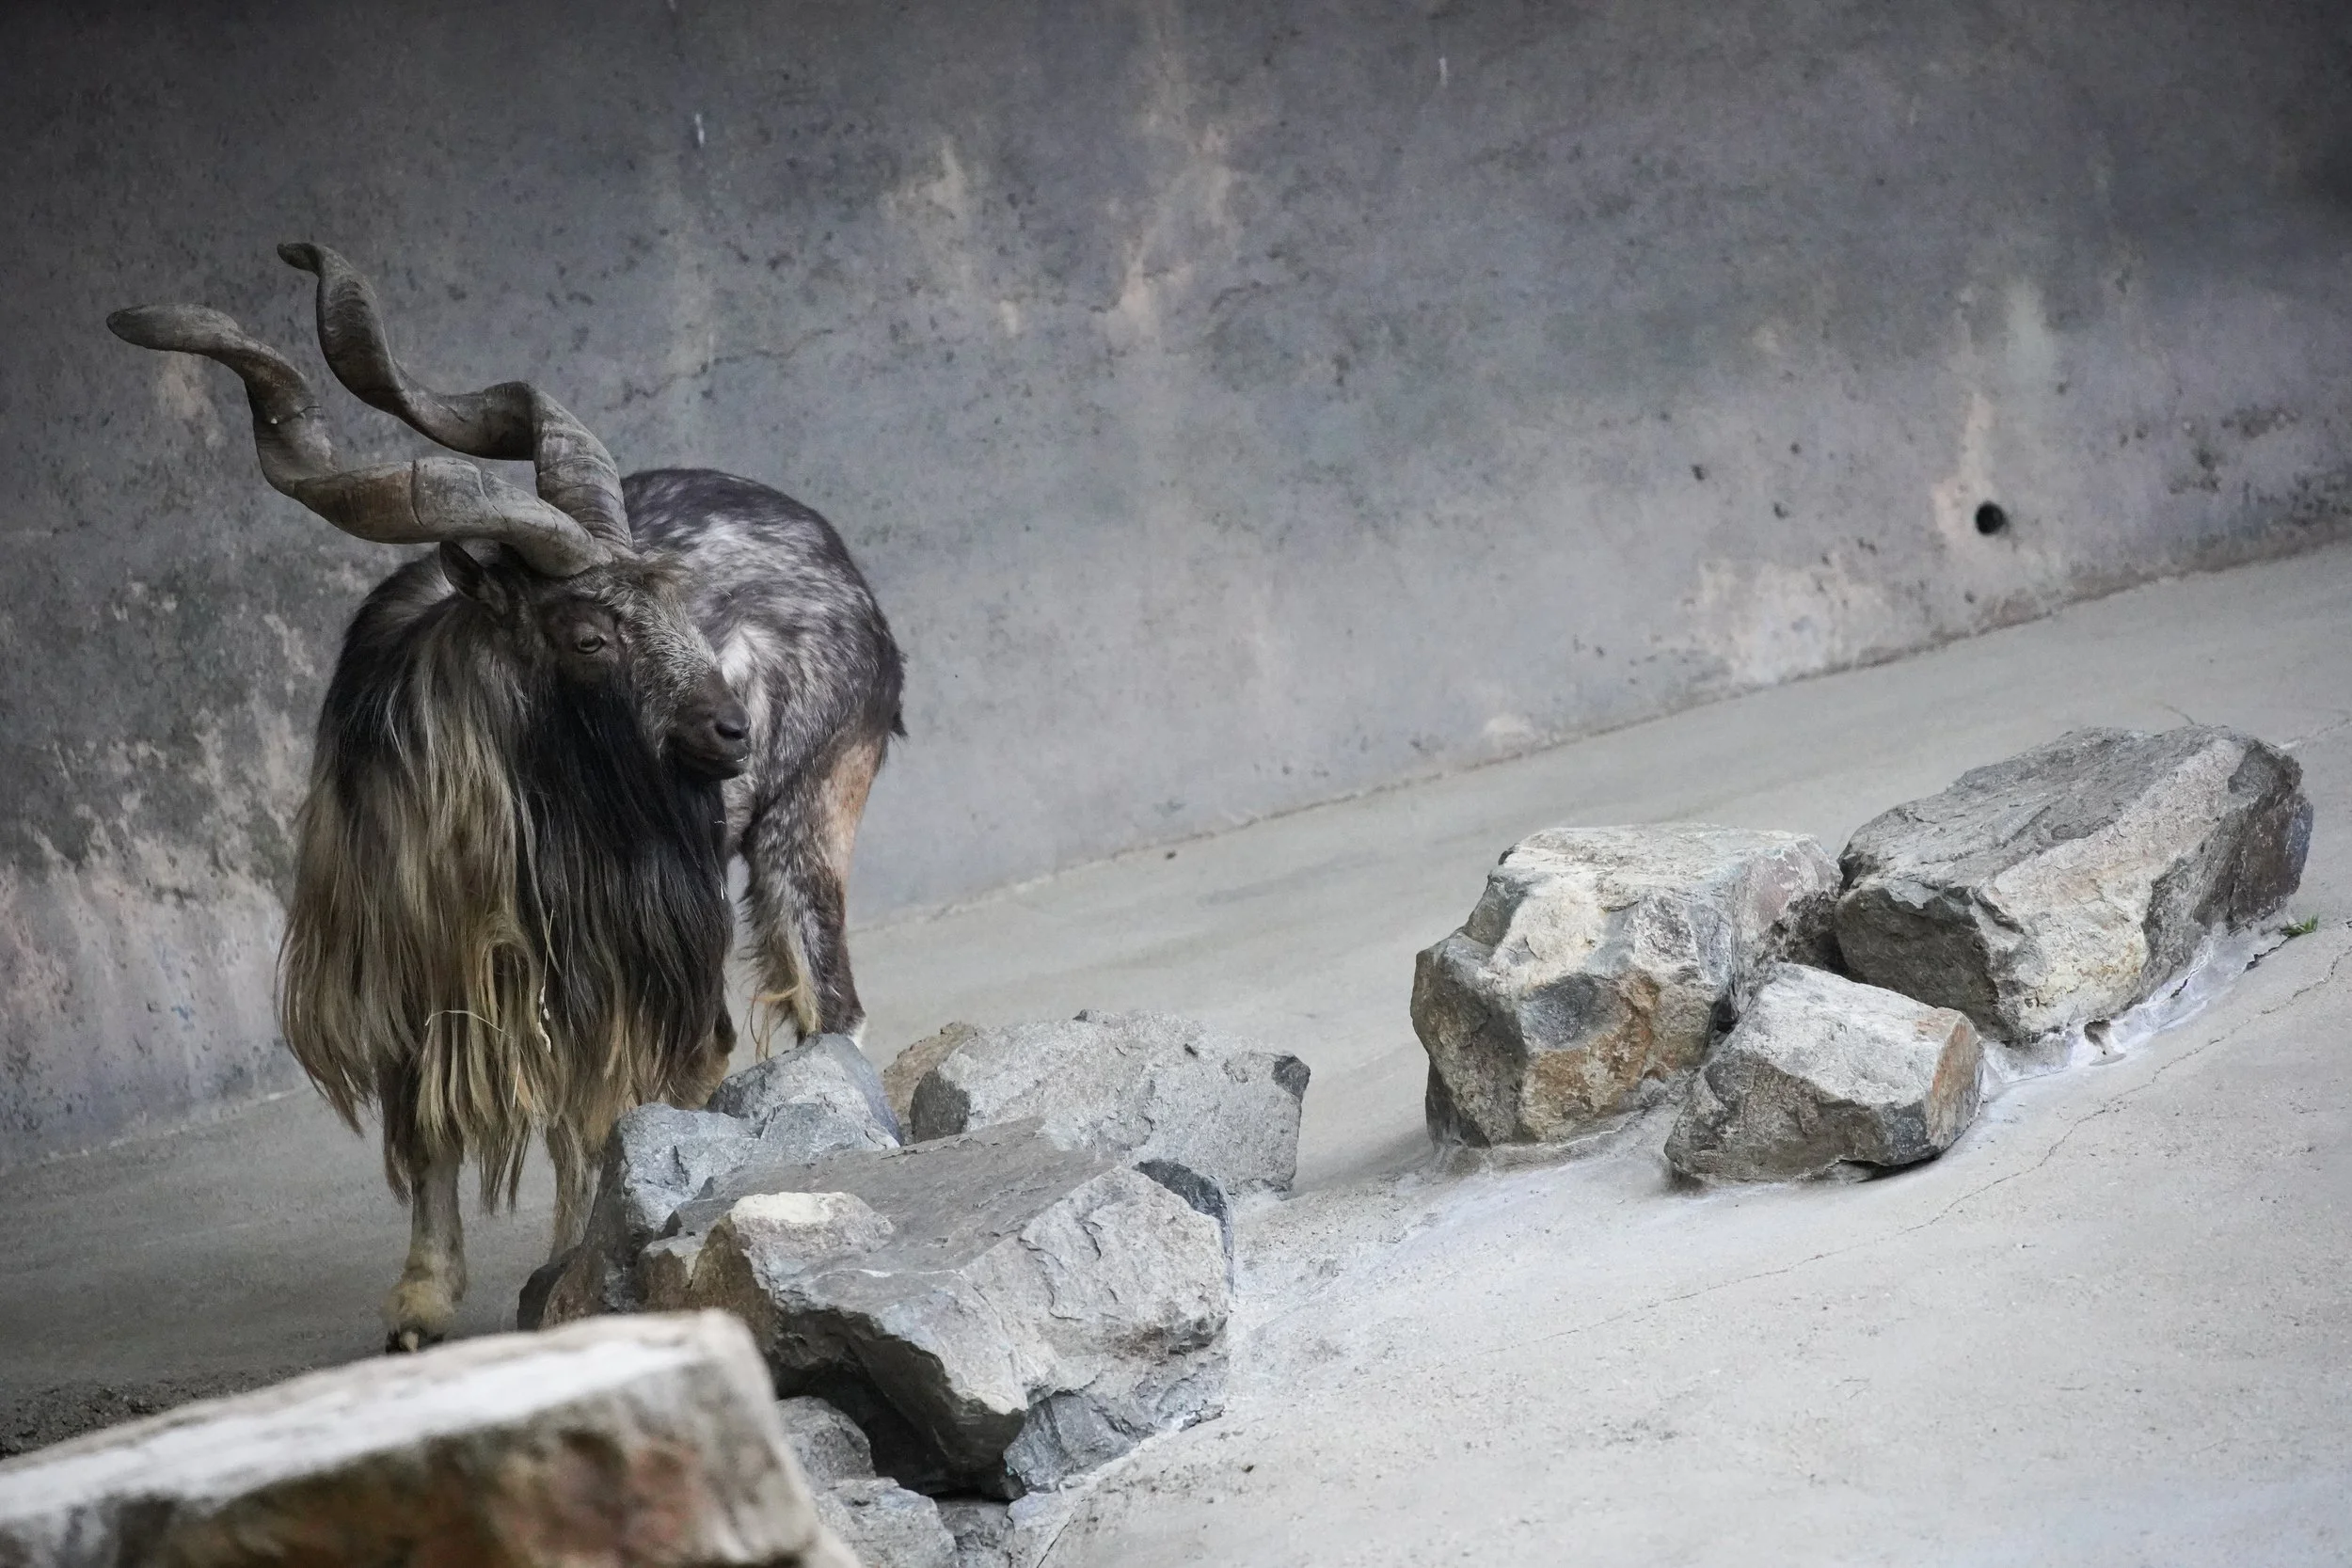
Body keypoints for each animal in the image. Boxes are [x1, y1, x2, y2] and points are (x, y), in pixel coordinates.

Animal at [111, 244, 904, 1351]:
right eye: (587, 633)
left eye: (674, 599)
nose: (726, 731)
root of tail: (840, 562)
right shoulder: (405, 971)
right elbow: (428, 1130)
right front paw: (418, 1302)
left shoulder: (622, 954)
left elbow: (599, 1116)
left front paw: (565, 1271)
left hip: (808, 814)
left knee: (823, 1006)